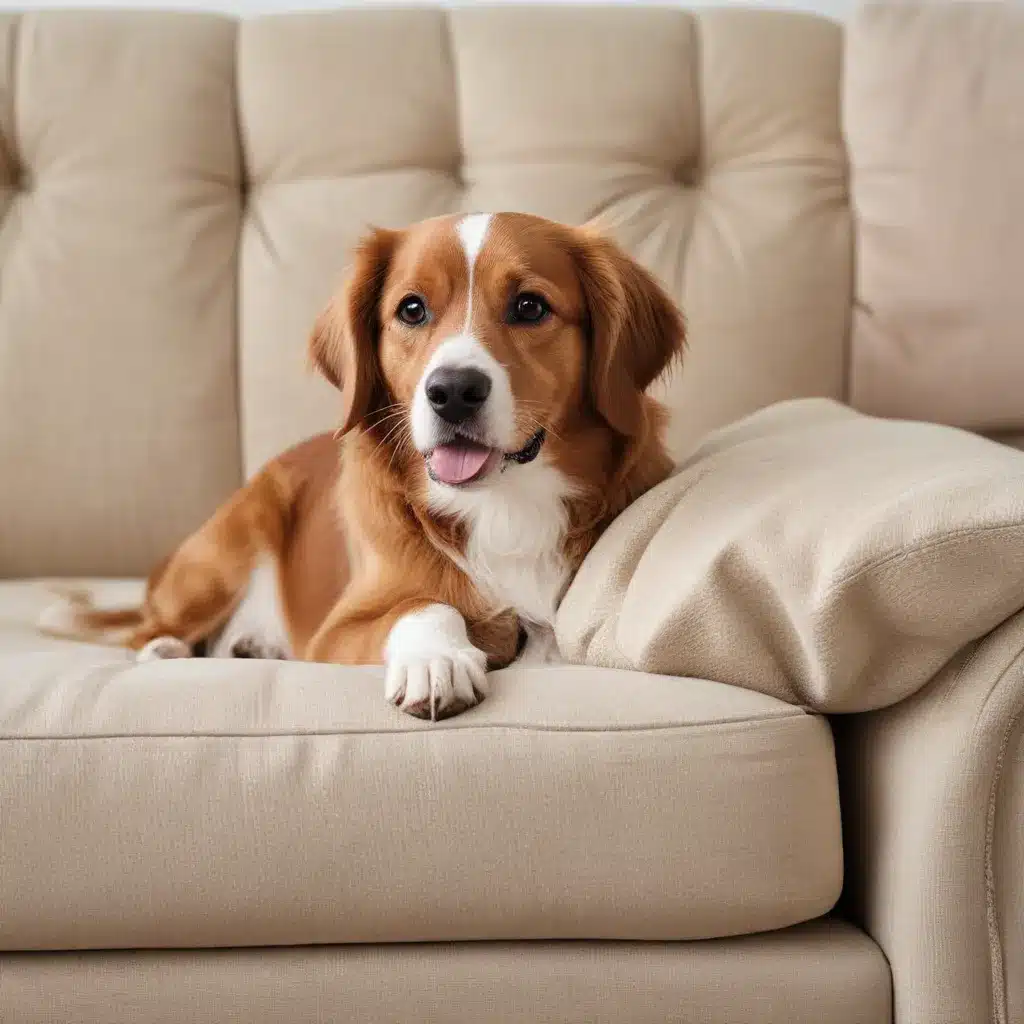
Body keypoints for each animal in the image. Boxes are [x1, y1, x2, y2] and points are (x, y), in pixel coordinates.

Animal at [39, 210, 684, 720]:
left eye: (529, 306)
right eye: (412, 309)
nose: (452, 391)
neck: (504, 506)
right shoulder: (335, 635)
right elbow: (423, 603)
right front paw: (436, 660)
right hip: (227, 549)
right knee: (145, 630)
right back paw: (170, 649)